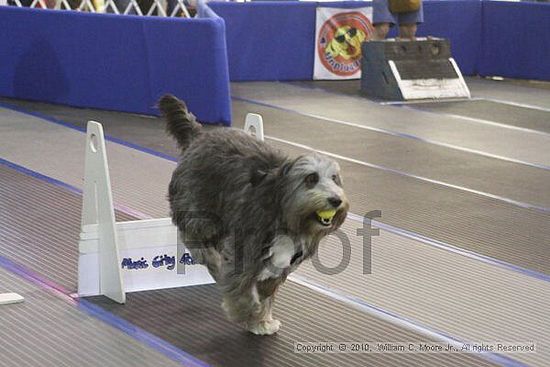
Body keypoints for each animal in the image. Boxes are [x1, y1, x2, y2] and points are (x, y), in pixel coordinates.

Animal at [160, 95, 350, 336]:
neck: (284, 216)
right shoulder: (244, 252)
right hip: (199, 214)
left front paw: (261, 320)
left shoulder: (277, 269)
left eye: (335, 179)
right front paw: (245, 313)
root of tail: (200, 136)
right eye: (311, 178)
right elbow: (242, 290)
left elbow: (266, 295)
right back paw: (213, 262)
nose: (336, 200)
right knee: (196, 241)